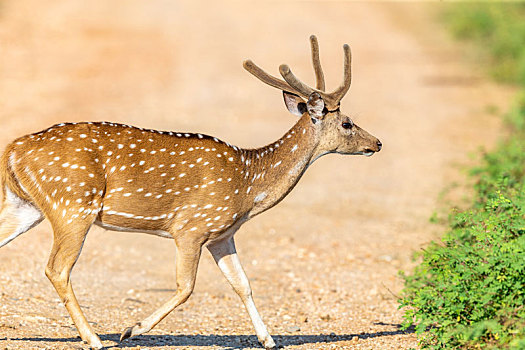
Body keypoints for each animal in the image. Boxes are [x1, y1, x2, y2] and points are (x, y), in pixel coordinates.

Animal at [0, 36, 378, 350]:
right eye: (347, 123)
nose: (376, 143)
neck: (248, 186)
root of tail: (13, 150)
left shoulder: (221, 235)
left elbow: (243, 283)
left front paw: (269, 340)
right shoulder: (191, 227)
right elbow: (186, 286)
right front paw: (131, 330)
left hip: (26, 206)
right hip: (73, 205)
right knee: (57, 268)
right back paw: (94, 339)